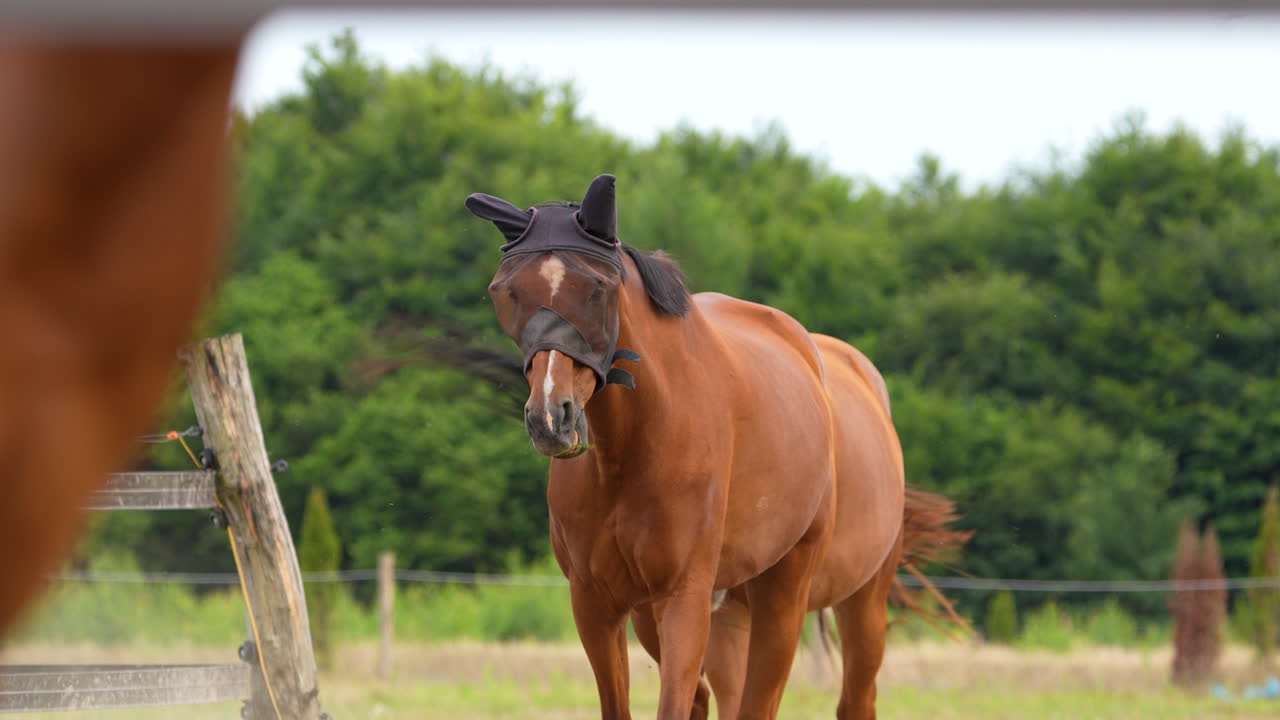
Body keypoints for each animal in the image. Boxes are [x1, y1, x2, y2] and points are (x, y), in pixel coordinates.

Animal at [466, 174, 966, 720]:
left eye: (599, 288)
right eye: (505, 291)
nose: (550, 418)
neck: (635, 449)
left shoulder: (684, 597)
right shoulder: (599, 603)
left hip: (822, 599)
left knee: (830, 698)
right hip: (723, 616)